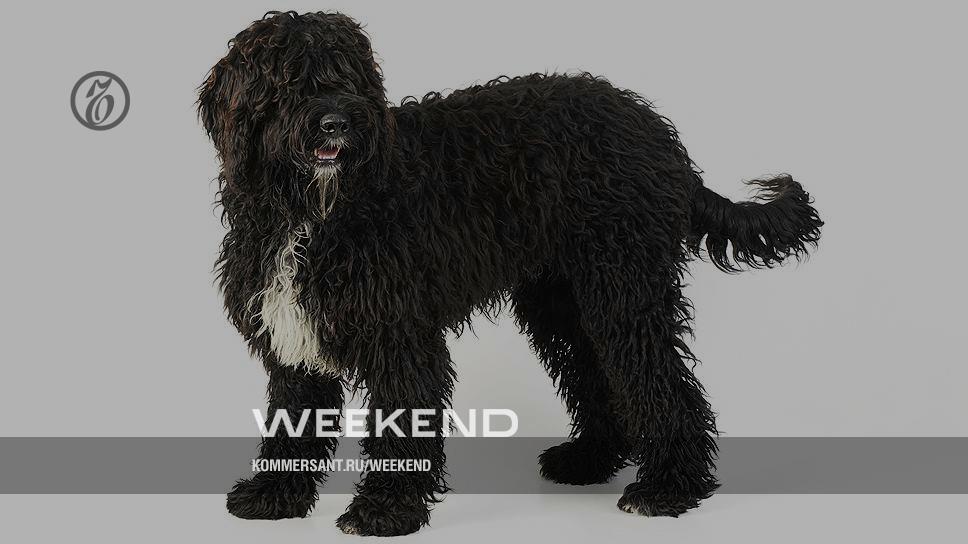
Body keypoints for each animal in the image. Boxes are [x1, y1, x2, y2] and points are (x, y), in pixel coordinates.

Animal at [198, 10, 822, 536]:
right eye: (287, 81)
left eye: (349, 78)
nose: (337, 123)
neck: (314, 211)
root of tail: (652, 126)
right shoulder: (294, 339)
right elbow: (292, 418)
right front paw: (275, 495)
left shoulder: (400, 336)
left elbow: (401, 420)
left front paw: (385, 509)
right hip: (562, 300)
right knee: (595, 372)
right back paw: (588, 459)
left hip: (623, 287)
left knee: (660, 380)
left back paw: (669, 486)